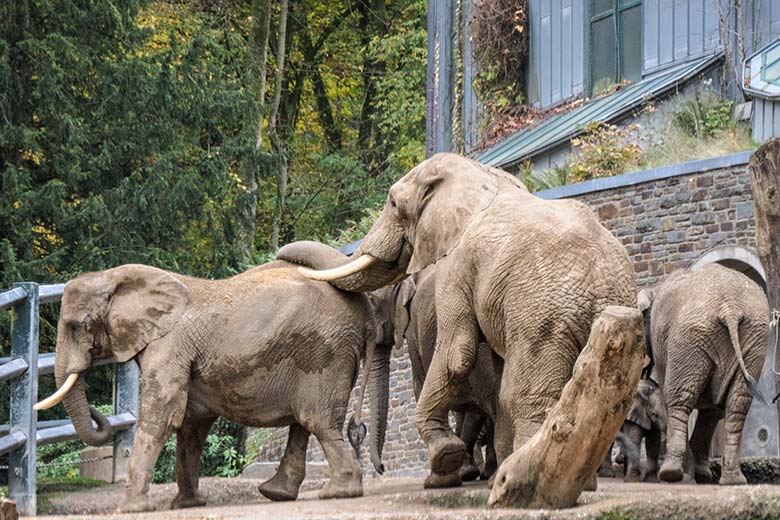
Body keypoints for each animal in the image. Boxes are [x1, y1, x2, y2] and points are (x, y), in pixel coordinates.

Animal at [33, 262, 390, 512]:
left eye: (76, 326)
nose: (98, 411)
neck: (115, 278)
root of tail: (365, 314)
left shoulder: (169, 345)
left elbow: (162, 414)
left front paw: (130, 510)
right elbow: (191, 425)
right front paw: (186, 505)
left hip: (326, 353)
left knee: (317, 420)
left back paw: (338, 492)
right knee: (304, 422)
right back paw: (278, 493)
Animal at [296, 151, 636, 496]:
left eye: (392, 203)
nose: (379, 468)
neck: (482, 173)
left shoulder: (456, 263)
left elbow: (456, 353)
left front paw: (441, 471)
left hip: (544, 318)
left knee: (525, 394)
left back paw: (523, 481)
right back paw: (570, 481)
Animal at [636, 264, 772, 488]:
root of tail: (731, 308)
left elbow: (670, 396)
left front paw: (690, 477)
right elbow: (713, 411)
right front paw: (700, 476)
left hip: (689, 336)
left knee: (678, 400)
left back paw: (670, 474)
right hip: (754, 339)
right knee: (737, 404)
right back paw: (733, 481)